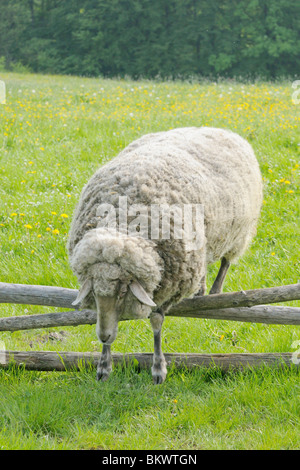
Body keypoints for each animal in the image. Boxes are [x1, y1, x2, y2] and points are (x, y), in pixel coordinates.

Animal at [68, 126, 262, 384]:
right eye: (97, 293)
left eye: (123, 292)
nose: (103, 336)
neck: (123, 223)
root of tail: (218, 129)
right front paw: (104, 365)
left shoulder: (172, 284)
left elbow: (156, 323)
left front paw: (158, 369)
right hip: (201, 244)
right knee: (204, 266)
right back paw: (200, 290)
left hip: (238, 235)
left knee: (226, 262)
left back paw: (214, 291)